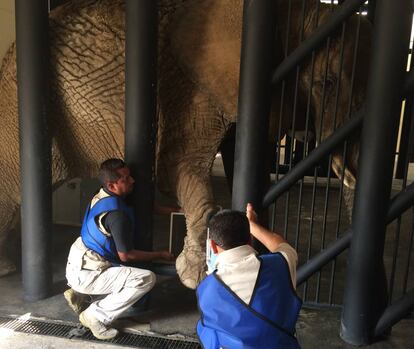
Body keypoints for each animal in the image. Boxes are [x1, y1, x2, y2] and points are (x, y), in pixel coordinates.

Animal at [0, 0, 370, 288]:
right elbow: (176, 166)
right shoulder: (190, 88)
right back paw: (7, 269)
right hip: (16, 99)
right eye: (325, 83)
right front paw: (195, 277)